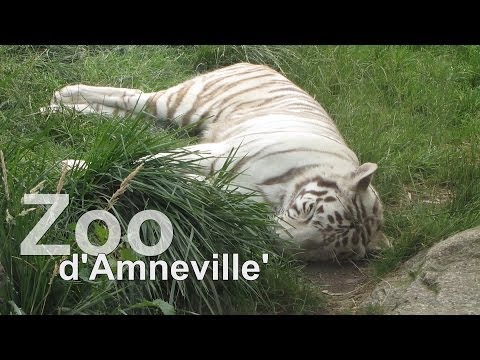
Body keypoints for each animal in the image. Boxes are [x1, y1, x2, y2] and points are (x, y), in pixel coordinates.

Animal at [42, 62, 390, 262]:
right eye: (310, 213)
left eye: (322, 249)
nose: (277, 242)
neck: (280, 193)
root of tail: (261, 63)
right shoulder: (220, 153)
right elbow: (151, 161)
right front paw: (77, 169)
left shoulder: (232, 193)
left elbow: (187, 186)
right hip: (182, 105)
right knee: (136, 96)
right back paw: (62, 96)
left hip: (165, 122)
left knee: (127, 116)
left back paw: (58, 109)